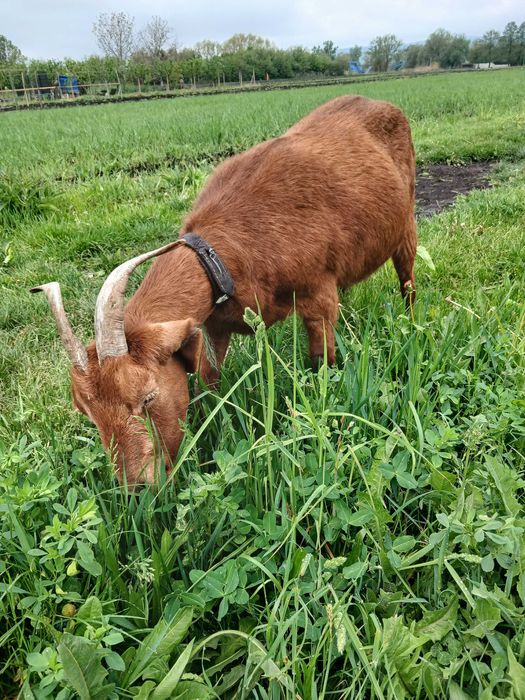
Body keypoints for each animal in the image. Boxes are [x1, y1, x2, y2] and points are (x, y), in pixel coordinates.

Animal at [32, 95, 417, 486]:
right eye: (88, 414)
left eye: (148, 397)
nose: (137, 486)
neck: (225, 250)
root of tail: (378, 102)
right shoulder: (215, 322)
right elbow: (208, 377)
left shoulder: (318, 295)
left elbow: (322, 363)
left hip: (407, 220)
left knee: (408, 280)